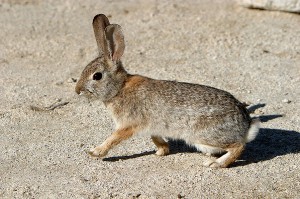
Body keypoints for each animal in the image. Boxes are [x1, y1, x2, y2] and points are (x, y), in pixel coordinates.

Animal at [75, 13, 260, 168]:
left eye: (97, 76)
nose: (77, 90)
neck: (119, 88)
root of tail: (246, 126)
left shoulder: (128, 125)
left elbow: (113, 138)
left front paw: (95, 152)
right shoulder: (152, 127)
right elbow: (156, 138)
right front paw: (161, 151)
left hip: (204, 136)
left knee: (238, 146)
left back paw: (216, 163)